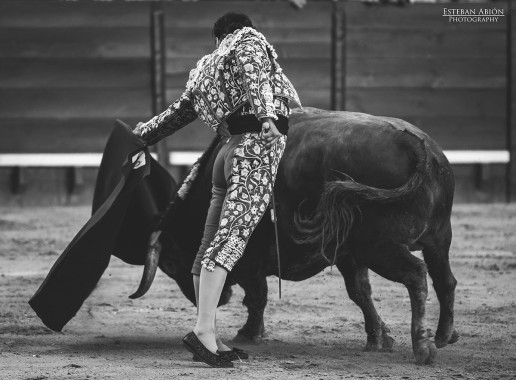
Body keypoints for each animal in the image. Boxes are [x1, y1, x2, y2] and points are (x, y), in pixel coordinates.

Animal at [30, 107, 458, 366]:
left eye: (170, 261)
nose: (217, 300)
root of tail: (417, 146)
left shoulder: (259, 256)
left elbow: (258, 295)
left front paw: (248, 333)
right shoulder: (347, 253)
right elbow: (361, 294)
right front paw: (378, 338)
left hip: (381, 245)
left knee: (417, 277)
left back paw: (424, 346)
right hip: (438, 237)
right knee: (445, 279)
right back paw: (445, 335)